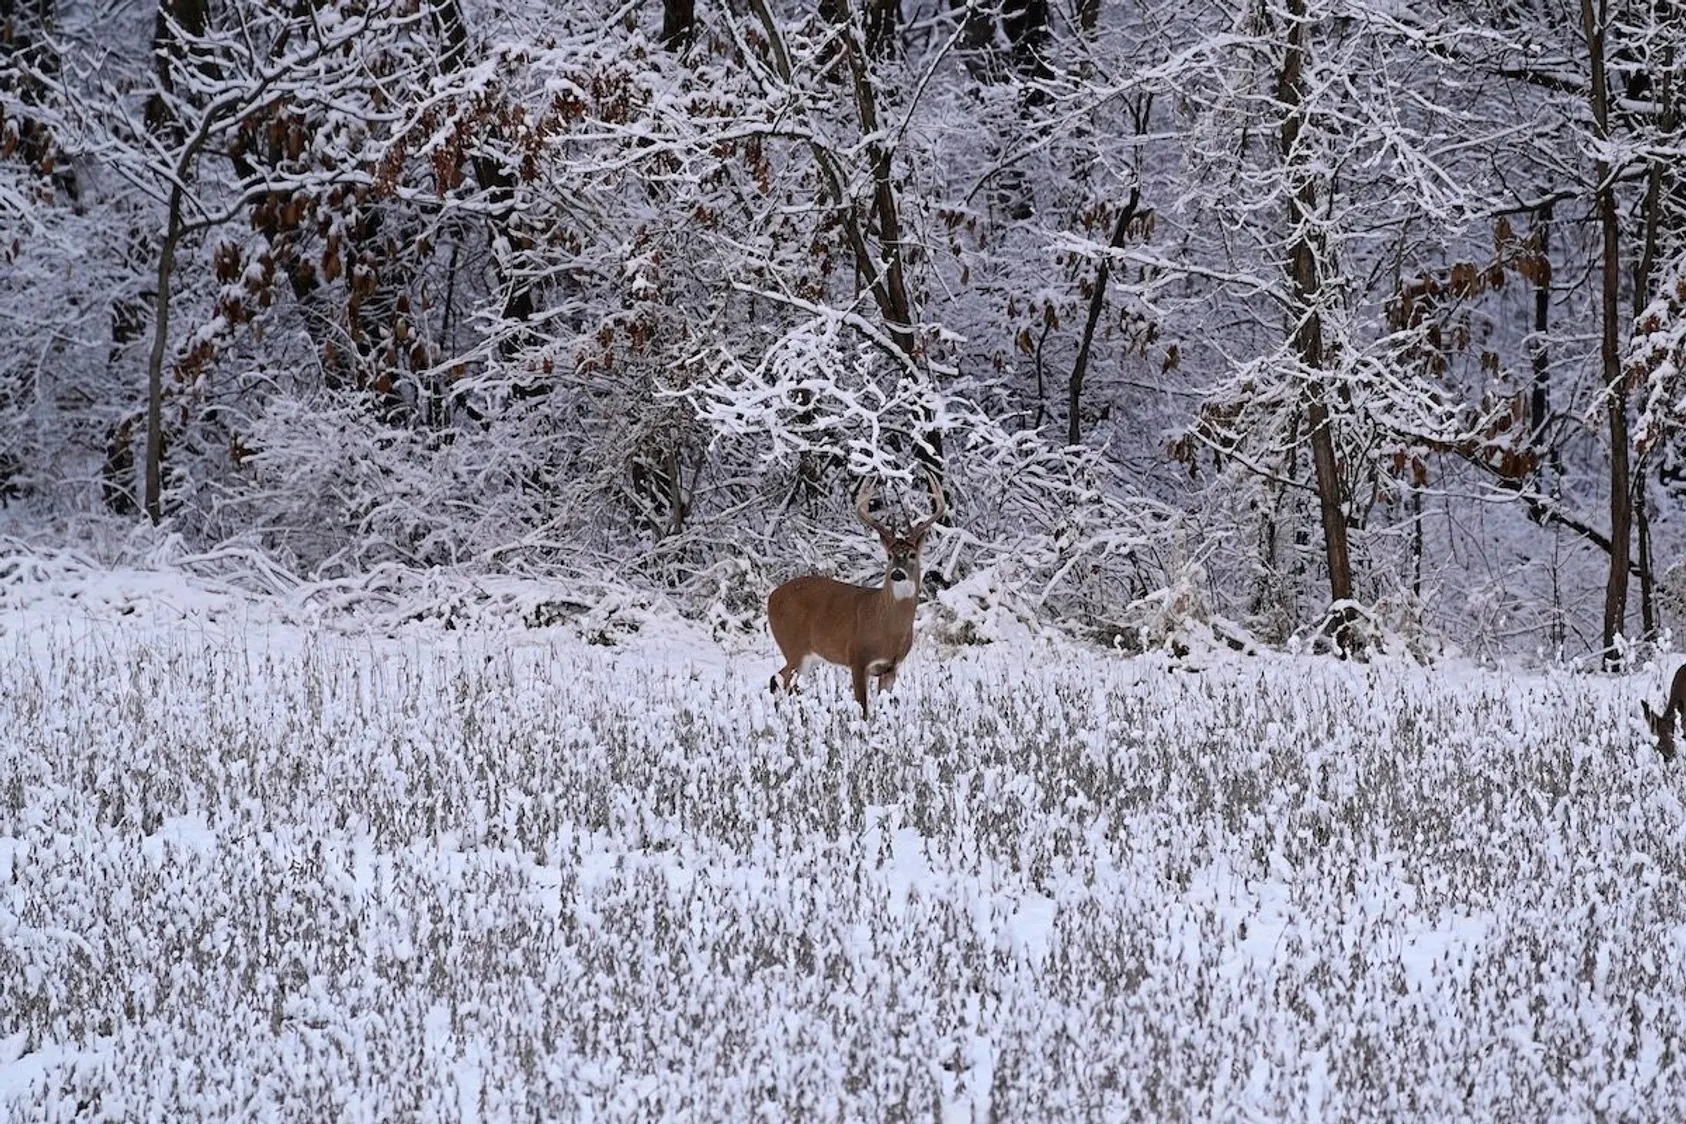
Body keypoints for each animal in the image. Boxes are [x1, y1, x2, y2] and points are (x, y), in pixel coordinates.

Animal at [767, 471, 946, 718]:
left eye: (911, 555)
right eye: (889, 555)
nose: (897, 574)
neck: (887, 629)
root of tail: (771, 597)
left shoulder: (890, 667)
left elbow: (884, 708)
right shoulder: (858, 659)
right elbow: (863, 710)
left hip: (810, 656)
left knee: (785, 682)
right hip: (793, 647)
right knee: (780, 681)